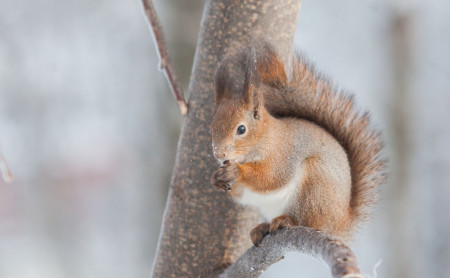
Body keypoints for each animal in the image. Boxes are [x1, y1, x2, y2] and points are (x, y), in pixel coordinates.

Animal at [209, 40, 384, 245]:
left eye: (241, 129)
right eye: (211, 127)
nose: (219, 153)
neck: (264, 138)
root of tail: (340, 223)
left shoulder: (282, 154)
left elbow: (270, 177)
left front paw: (237, 171)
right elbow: (241, 193)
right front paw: (216, 178)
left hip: (315, 187)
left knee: (310, 222)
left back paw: (287, 220)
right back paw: (261, 228)